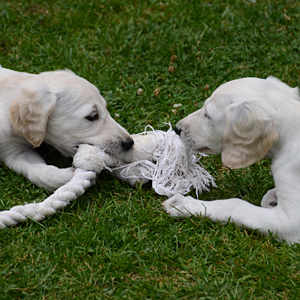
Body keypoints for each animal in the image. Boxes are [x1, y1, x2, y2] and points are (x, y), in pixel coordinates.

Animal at [163, 75, 300, 244]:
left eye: (207, 114)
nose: (177, 128)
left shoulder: (290, 222)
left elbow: (236, 204)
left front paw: (183, 204)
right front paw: (272, 196)